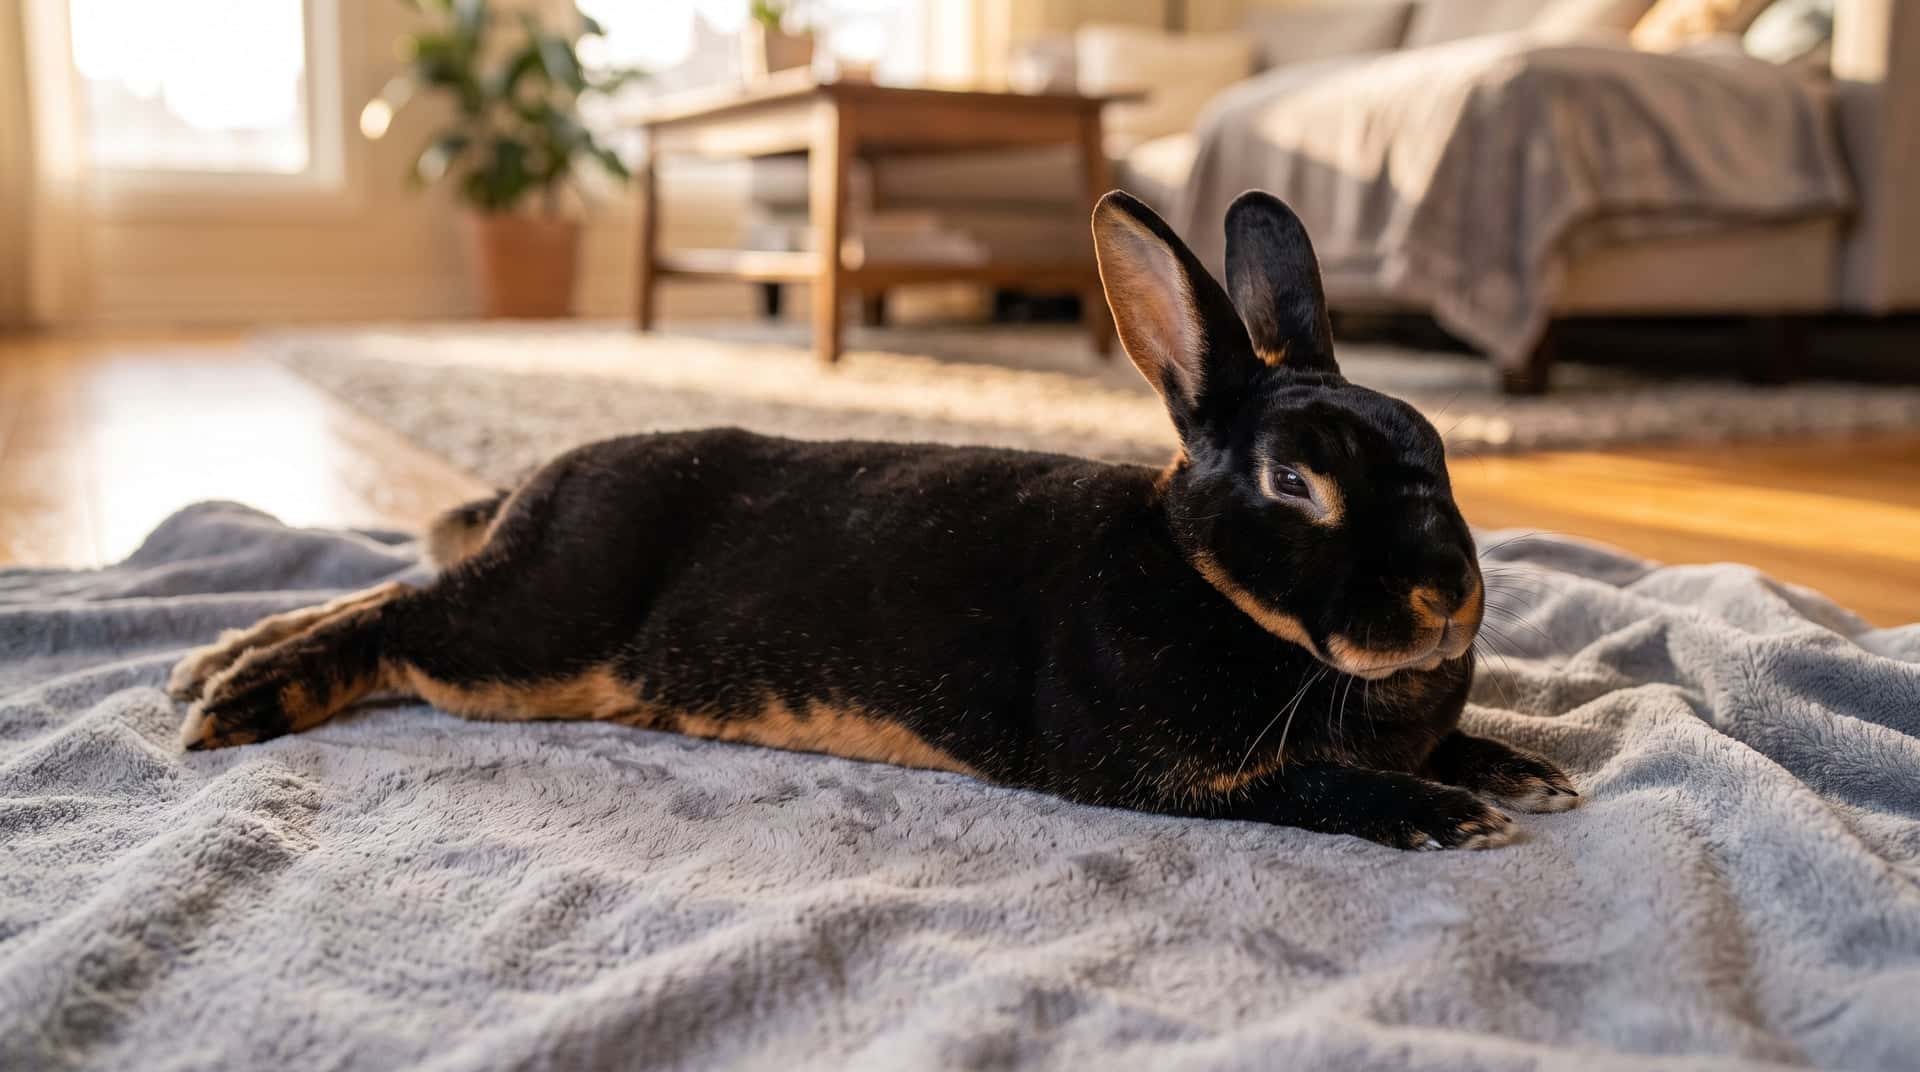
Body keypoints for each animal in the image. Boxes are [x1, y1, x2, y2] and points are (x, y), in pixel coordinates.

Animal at [169, 190, 1578, 851]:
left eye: (1434, 446)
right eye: (1295, 485)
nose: (1450, 600)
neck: (1213, 582)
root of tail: (541, 487)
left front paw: (1519, 765)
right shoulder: (1171, 774)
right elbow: (1318, 783)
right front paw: (1446, 812)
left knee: (390, 589)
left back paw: (210, 660)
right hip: (536, 640)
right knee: (402, 622)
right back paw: (243, 696)